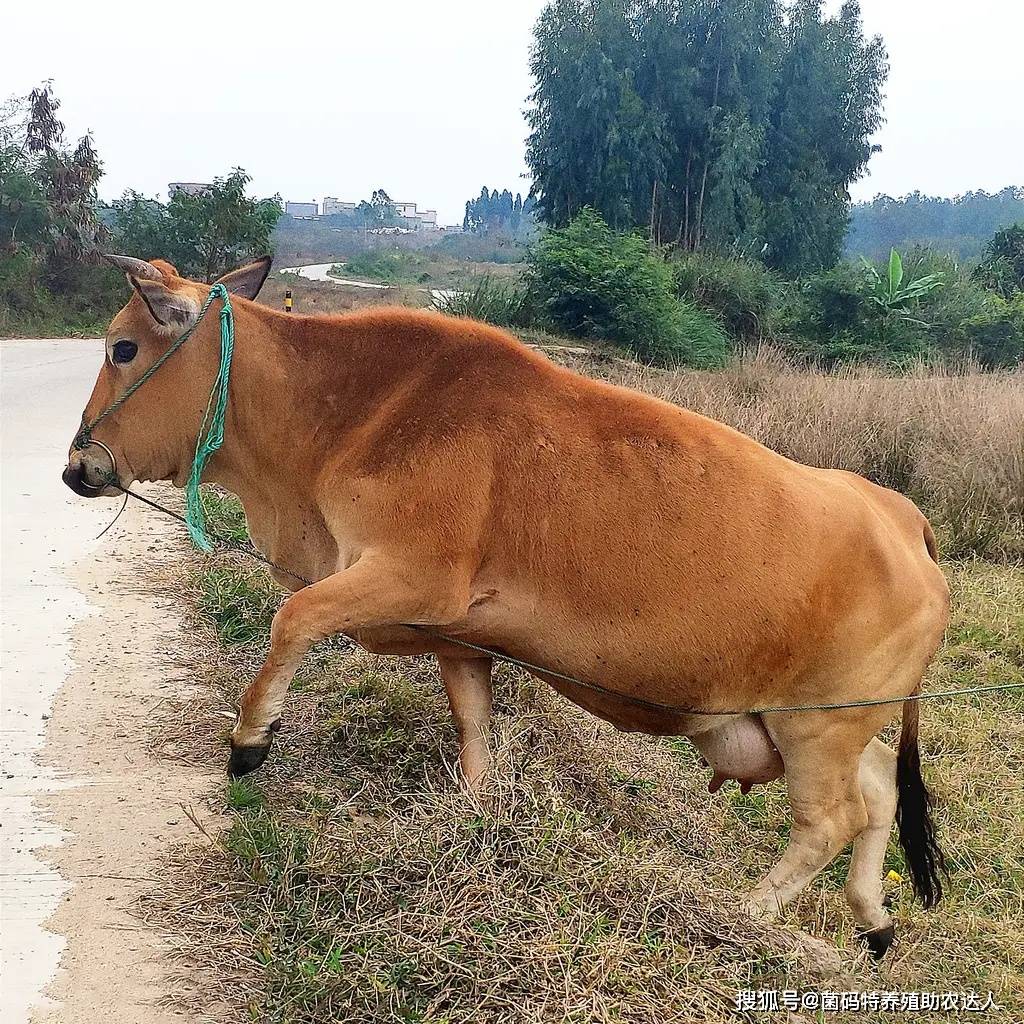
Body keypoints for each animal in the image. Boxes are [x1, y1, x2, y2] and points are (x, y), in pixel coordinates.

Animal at [64, 253, 946, 950]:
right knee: (879, 794)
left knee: (831, 821)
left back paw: (744, 916)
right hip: (821, 726)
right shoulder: (459, 639)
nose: (79, 466)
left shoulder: (406, 576)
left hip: (816, 731)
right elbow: (474, 731)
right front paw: (480, 820)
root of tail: (907, 519)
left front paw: (251, 739)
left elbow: (292, 621)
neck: (352, 414)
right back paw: (872, 919)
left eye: (123, 347)